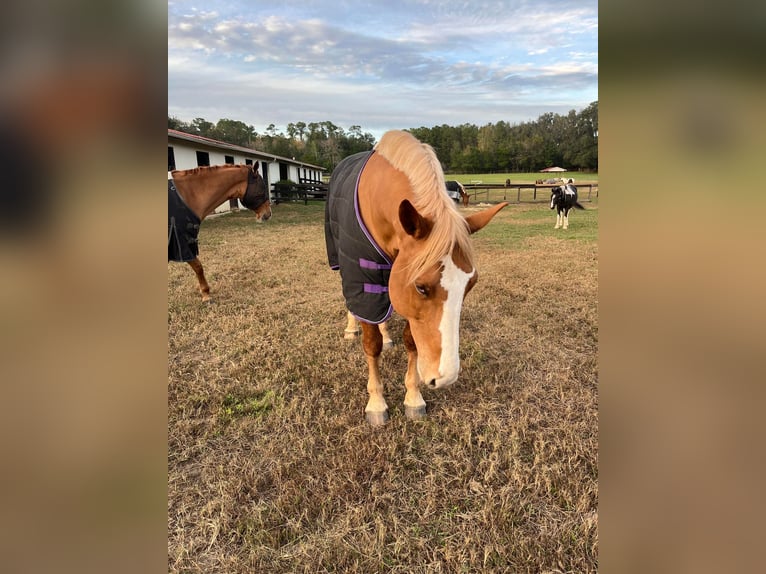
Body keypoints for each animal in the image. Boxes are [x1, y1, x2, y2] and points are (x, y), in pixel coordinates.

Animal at [169, 164, 272, 304]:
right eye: (262, 187)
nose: (269, 213)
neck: (186, 195)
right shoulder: (183, 242)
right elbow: (198, 267)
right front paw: (206, 293)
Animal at [326, 130, 510, 428]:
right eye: (422, 287)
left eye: (470, 285)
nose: (445, 378)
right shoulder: (363, 274)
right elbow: (371, 344)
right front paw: (376, 402)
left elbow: (411, 341)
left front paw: (413, 397)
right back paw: (351, 327)